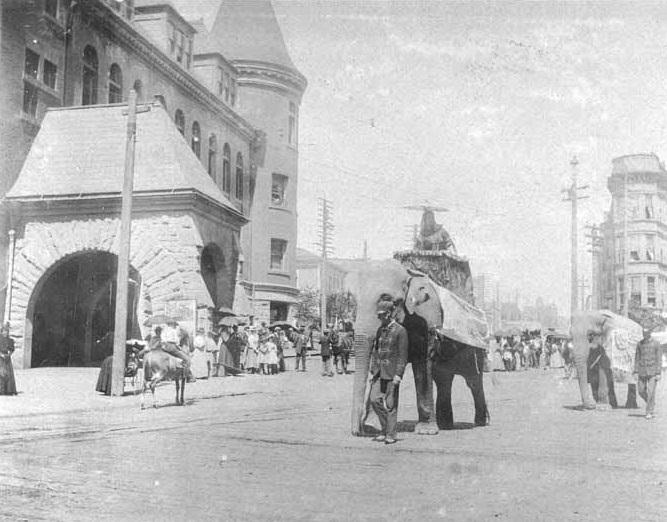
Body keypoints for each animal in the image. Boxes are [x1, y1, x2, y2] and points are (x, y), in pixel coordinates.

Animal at [350, 258, 490, 432]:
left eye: (386, 298)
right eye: (354, 300)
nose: (358, 431)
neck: (408, 273)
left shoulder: (427, 319)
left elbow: (422, 363)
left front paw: (426, 431)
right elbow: (381, 365)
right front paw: (374, 425)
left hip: (474, 348)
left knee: (473, 380)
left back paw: (480, 422)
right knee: (443, 379)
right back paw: (445, 425)